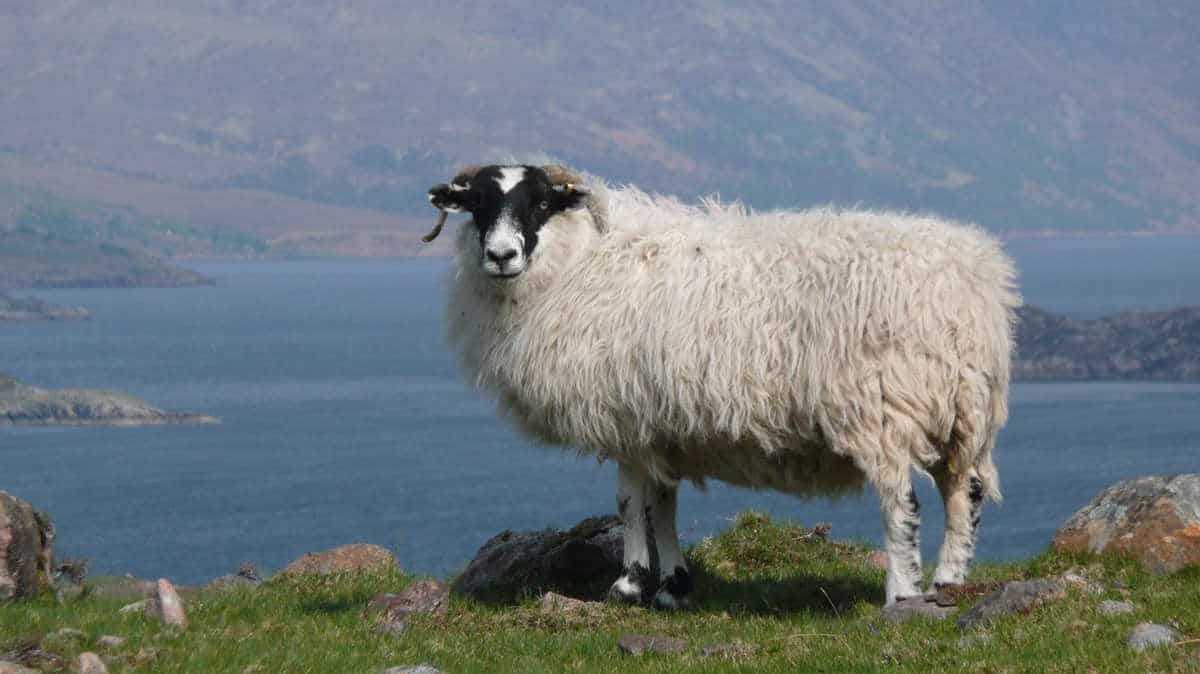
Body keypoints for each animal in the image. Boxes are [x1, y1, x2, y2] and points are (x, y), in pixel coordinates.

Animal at [426, 164, 1020, 609]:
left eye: (541, 203)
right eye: (477, 204)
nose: (501, 256)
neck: (577, 261)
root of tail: (968, 282)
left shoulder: (624, 415)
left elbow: (628, 501)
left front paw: (629, 584)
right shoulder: (659, 423)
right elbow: (661, 504)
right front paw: (672, 587)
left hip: (883, 406)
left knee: (902, 502)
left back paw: (901, 594)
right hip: (962, 410)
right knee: (964, 490)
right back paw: (948, 582)